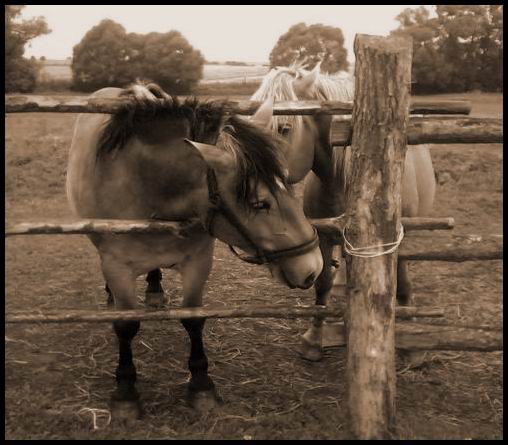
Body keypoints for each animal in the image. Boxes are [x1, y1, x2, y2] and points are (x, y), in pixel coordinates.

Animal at [66, 83, 322, 420]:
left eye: (289, 185)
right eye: (259, 203)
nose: (313, 267)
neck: (146, 185)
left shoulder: (199, 261)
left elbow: (194, 319)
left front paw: (201, 385)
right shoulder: (117, 266)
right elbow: (127, 326)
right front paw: (125, 391)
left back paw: (155, 290)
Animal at [252, 62, 434, 360]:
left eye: (284, 128)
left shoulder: (399, 237)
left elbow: (403, 278)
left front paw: (413, 340)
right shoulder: (325, 236)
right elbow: (323, 282)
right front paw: (314, 338)